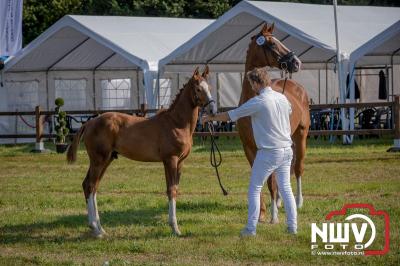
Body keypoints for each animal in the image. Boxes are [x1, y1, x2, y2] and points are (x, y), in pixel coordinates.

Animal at [67, 66, 216, 237]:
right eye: (198, 89)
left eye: (209, 88)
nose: (212, 109)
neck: (176, 123)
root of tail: (89, 122)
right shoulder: (170, 160)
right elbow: (171, 190)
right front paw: (175, 228)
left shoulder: (180, 162)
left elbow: (175, 189)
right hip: (98, 160)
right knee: (90, 185)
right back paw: (95, 229)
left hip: (107, 159)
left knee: (93, 186)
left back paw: (100, 228)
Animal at [238, 22, 310, 223]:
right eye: (271, 44)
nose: (296, 63)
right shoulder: (249, 148)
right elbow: (260, 178)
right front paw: (260, 212)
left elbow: (271, 181)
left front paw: (273, 216)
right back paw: (279, 201)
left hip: (301, 135)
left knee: (298, 168)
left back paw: (298, 202)